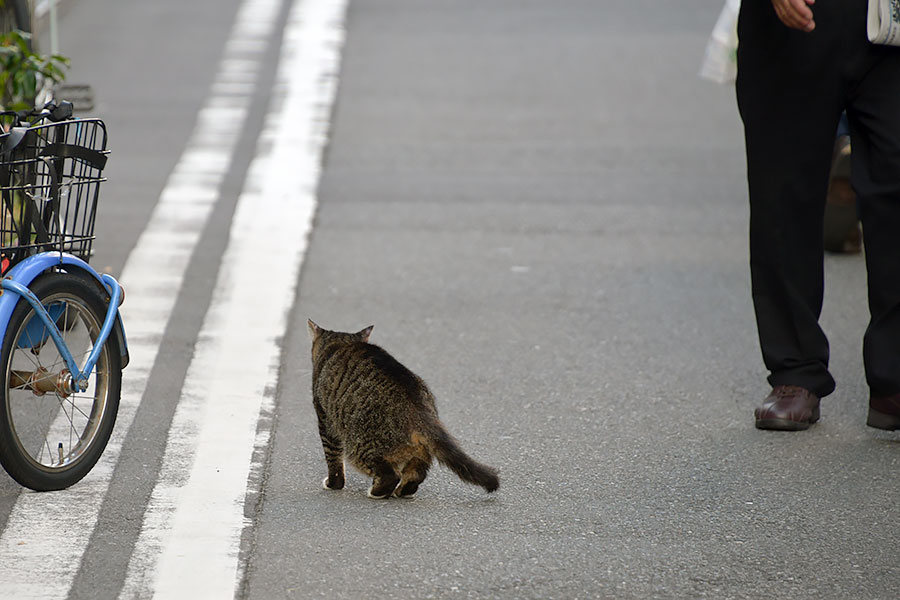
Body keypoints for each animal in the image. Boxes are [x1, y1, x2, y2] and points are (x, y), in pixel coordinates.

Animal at [306, 322, 496, 500]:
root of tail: (419, 408)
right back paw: (402, 491)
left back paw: (376, 492)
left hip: (359, 445)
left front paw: (333, 484)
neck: (341, 343)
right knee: (416, 474)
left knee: (390, 475)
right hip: (420, 452)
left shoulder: (325, 420)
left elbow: (333, 459)